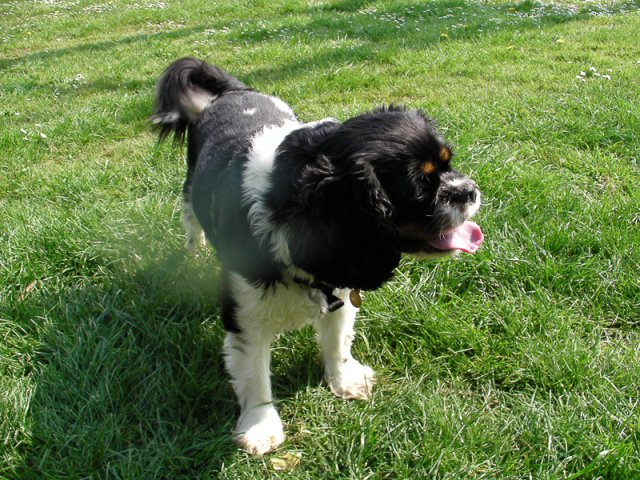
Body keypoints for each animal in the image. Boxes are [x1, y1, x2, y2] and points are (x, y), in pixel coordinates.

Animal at [152, 57, 483, 455]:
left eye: (449, 165)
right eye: (421, 187)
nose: (470, 190)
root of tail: (233, 91)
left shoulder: (340, 285)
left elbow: (336, 342)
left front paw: (344, 381)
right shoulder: (245, 314)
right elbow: (255, 375)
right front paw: (261, 427)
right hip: (190, 195)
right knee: (192, 226)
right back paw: (194, 253)